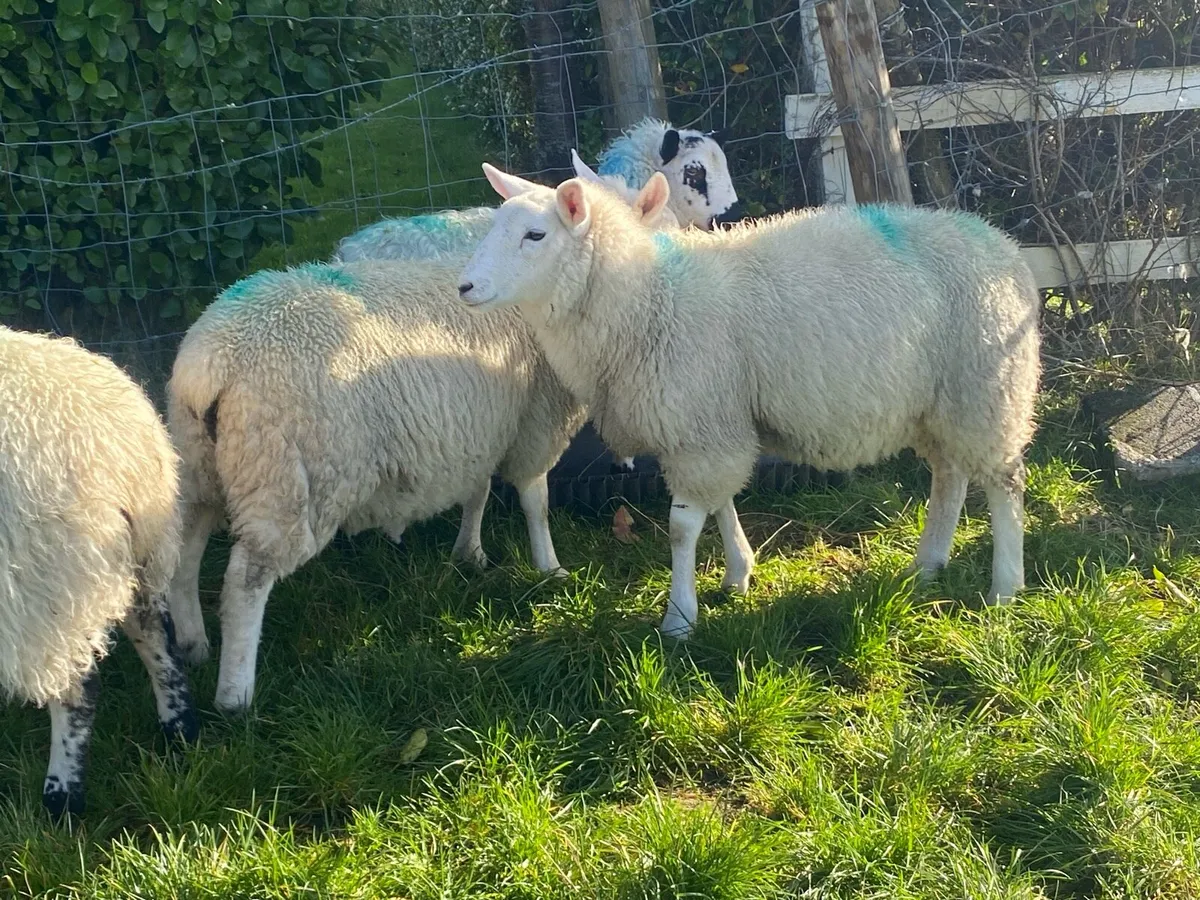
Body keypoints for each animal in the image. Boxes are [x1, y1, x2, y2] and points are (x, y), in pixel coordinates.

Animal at [0, 325, 198, 818]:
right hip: (137, 556)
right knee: (157, 637)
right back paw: (180, 730)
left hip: (48, 582)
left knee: (78, 693)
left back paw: (62, 798)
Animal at [163, 175, 696, 712]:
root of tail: (212, 361)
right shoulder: (533, 419)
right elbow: (535, 500)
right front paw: (549, 567)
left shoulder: (477, 424)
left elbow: (478, 491)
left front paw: (471, 553)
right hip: (283, 472)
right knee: (245, 580)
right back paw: (235, 693)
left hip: (202, 466)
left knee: (183, 555)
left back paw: (192, 645)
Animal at [457, 165, 1041, 639]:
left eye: (535, 235)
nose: (464, 287)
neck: (651, 297)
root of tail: (1008, 249)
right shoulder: (712, 419)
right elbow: (721, 503)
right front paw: (738, 572)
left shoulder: (700, 423)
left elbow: (681, 528)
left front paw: (679, 618)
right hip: (940, 401)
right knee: (951, 475)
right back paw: (929, 564)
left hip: (988, 386)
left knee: (1004, 481)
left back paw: (1004, 587)